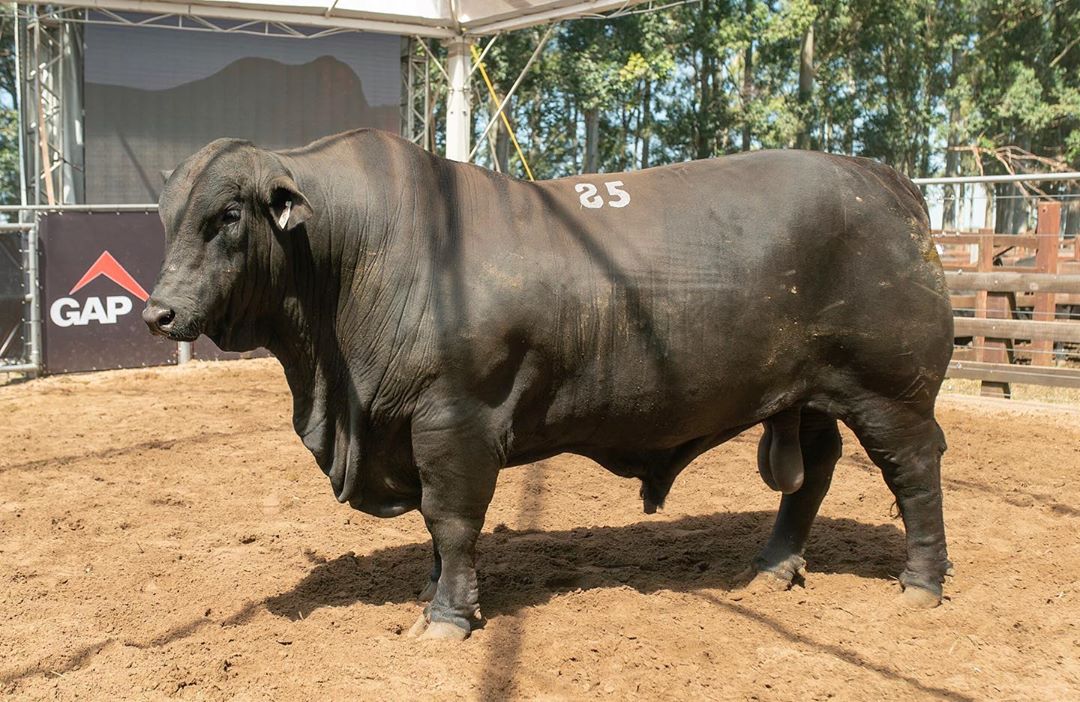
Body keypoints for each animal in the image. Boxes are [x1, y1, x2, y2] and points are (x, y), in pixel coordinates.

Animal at [143, 129, 954, 639]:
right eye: (168, 218)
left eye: (228, 214)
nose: (158, 311)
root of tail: (888, 184)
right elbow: (435, 533)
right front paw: (434, 595)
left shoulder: (455, 421)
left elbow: (451, 521)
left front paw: (448, 619)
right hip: (810, 394)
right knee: (811, 476)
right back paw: (774, 568)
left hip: (892, 393)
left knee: (914, 475)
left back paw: (921, 583)